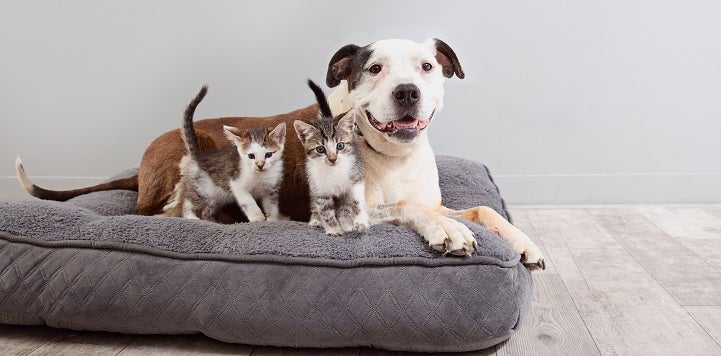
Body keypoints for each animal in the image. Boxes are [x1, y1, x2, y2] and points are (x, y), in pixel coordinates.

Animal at [176, 85, 286, 220]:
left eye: (268, 154)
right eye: (251, 156)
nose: (260, 165)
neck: (261, 175)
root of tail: (199, 156)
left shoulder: (271, 190)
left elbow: (272, 207)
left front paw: (272, 220)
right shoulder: (237, 184)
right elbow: (250, 204)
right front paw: (258, 219)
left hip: (217, 197)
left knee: (207, 210)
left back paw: (211, 220)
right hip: (203, 189)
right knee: (188, 201)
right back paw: (191, 217)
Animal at [294, 81, 372, 236]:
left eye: (340, 146)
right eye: (320, 149)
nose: (332, 159)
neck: (334, 171)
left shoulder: (355, 179)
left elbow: (356, 202)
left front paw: (358, 222)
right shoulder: (320, 190)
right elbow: (326, 211)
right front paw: (334, 230)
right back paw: (316, 220)